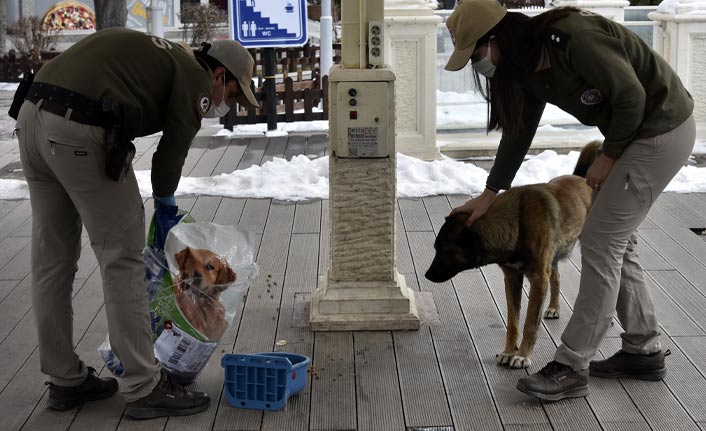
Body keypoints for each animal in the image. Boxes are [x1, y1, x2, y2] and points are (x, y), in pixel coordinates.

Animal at [424, 142, 600, 368]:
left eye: (443, 250)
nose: (427, 275)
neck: (517, 222)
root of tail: (582, 179)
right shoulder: (512, 278)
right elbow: (513, 322)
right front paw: (509, 351)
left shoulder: (538, 280)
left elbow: (529, 324)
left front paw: (523, 355)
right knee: (556, 276)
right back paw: (554, 307)